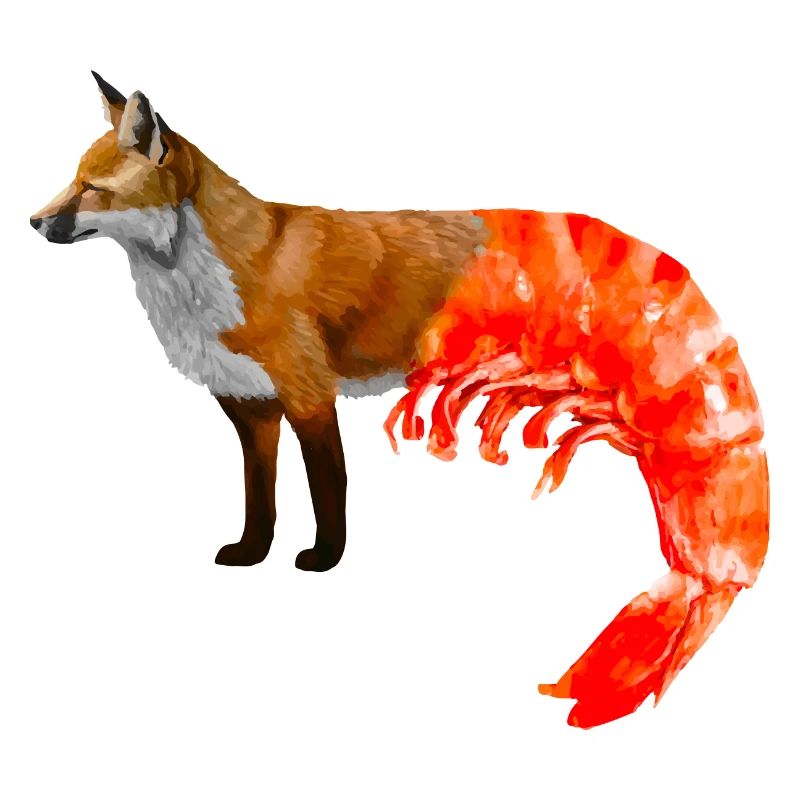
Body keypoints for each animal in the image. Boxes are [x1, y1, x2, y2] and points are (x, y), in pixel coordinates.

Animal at [31, 73, 768, 727]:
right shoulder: (250, 405)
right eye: (73, 178)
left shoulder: (307, 394)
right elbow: (259, 497)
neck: (210, 281)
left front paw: (324, 560)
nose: (35, 221)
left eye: (92, 189)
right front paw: (252, 552)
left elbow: (330, 488)